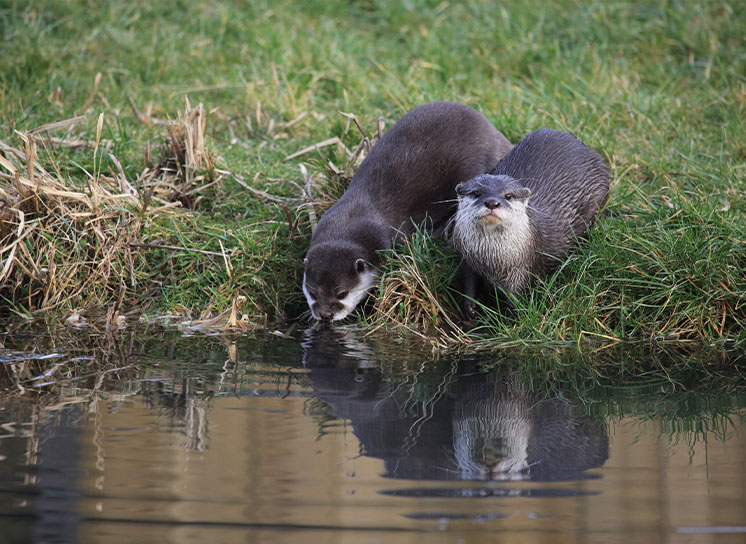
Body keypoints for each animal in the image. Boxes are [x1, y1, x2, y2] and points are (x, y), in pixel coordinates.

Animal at [451, 129, 610, 317]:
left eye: (508, 195)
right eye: (476, 193)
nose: (492, 202)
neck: (491, 261)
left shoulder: (523, 269)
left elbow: (516, 299)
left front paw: (510, 318)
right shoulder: (468, 259)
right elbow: (469, 283)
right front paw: (470, 308)